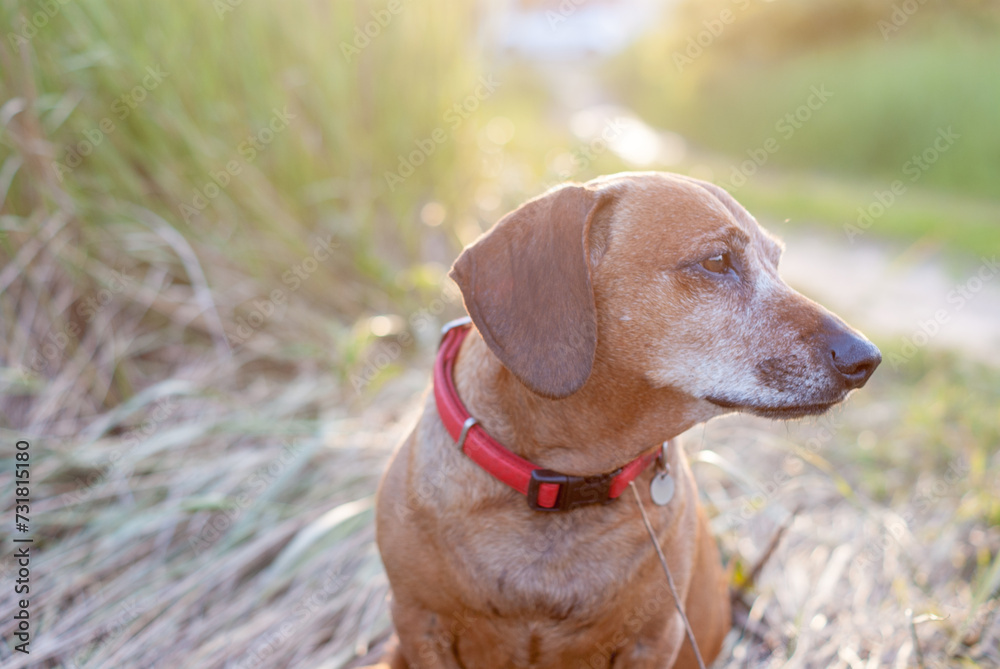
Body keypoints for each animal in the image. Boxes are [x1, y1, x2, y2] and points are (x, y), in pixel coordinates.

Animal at [372, 174, 880, 668]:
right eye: (717, 261)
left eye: (777, 263)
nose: (866, 359)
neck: (566, 481)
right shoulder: (419, 623)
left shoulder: (652, 638)